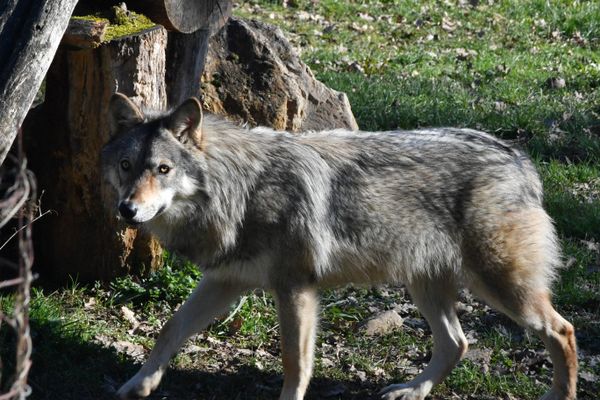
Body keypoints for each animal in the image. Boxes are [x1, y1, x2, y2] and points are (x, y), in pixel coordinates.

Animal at [102, 93, 576, 400]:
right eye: (126, 166)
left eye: (163, 169)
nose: (127, 210)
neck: (242, 188)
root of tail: (519, 160)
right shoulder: (225, 282)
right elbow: (170, 329)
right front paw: (138, 385)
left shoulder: (296, 289)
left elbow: (295, 363)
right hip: (425, 286)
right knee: (456, 344)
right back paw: (412, 391)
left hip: (501, 290)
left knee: (562, 330)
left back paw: (559, 394)